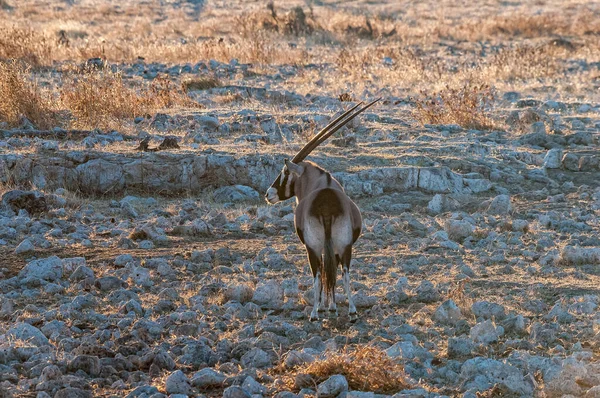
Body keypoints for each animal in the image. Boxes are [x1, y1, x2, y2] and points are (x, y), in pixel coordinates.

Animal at [264, 98, 380, 320]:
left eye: (285, 172)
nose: (268, 194)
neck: (320, 183)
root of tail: (326, 204)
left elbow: (323, 274)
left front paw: (325, 307)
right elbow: (332, 272)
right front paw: (332, 306)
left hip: (314, 247)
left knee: (318, 273)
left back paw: (315, 313)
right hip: (344, 245)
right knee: (343, 272)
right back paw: (352, 311)